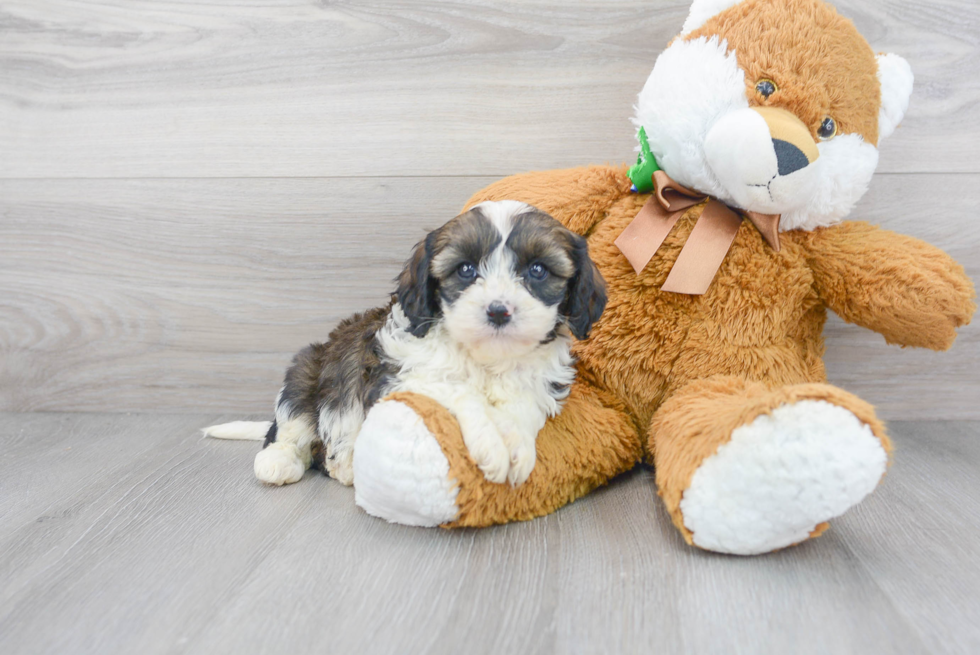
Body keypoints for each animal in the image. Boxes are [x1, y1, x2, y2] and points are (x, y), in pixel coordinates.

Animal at [205, 202, 604, 490]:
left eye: (538, 270)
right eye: (465, 270)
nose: (498, 311)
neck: (486, 357)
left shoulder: (539, 382)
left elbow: (524, 406)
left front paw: (517, 445)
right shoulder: (399, 377)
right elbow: (458, 390)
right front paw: (491, 443)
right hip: (306, 370)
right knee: (292, 428)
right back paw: (284, 462)